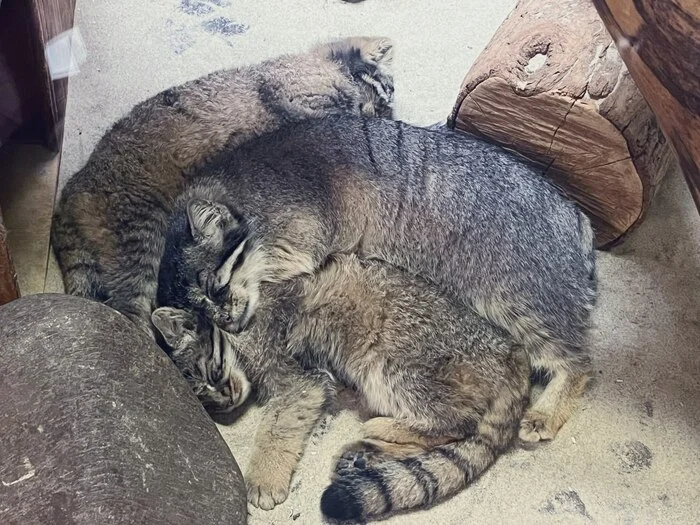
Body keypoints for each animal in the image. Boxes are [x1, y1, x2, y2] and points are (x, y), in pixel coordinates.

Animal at [150, 254, 528, 520]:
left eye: (207, 373)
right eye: (203, 399)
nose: (225, 399)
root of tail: (513, 350)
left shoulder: (301, 383)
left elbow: (273, 430)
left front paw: (263, 478)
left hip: (390, 367)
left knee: (458, 424)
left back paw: (381, 430)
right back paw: (366, 454)